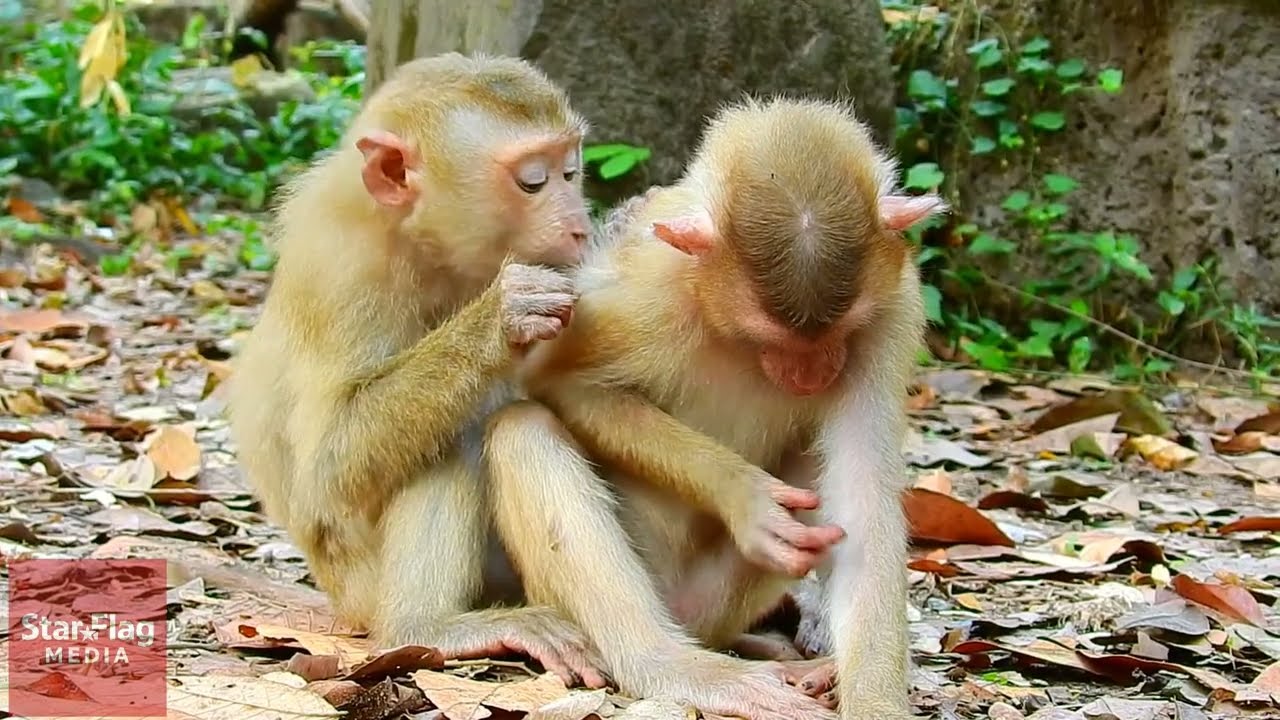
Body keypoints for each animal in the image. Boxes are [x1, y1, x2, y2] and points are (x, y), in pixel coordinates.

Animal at [225, 52, 609, 688]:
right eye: (532, 180)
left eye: (570, 171)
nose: (580, 225)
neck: (422, 244)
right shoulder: (342, 268)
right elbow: (330, 465)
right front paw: (503, 314)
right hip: (364, 588)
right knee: (443, 435)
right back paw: (427, 627)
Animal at [482, 96, 946, 720]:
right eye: (766, 337)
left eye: (837, 333)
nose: (811, 374)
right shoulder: (649, 293)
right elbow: (566, 384)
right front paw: (748, 499)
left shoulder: (892, 311)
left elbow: (864, 501)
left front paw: (875, 701)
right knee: (523, 428)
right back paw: (674, 665)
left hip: (712, 602)